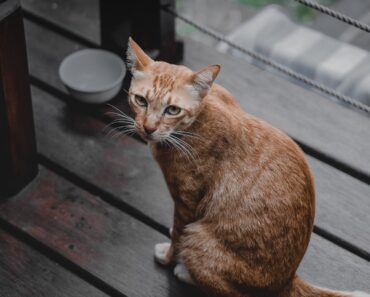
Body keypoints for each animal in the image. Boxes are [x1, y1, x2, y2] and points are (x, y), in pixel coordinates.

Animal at [125, 37, 368, 296]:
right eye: (141, 101)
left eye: (172, 110)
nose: (148, 128)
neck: (193, 124)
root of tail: (287, 280)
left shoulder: (186, 202)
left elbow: (178, 234)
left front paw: (168, 256)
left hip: (198, 238)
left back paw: (185, 272)